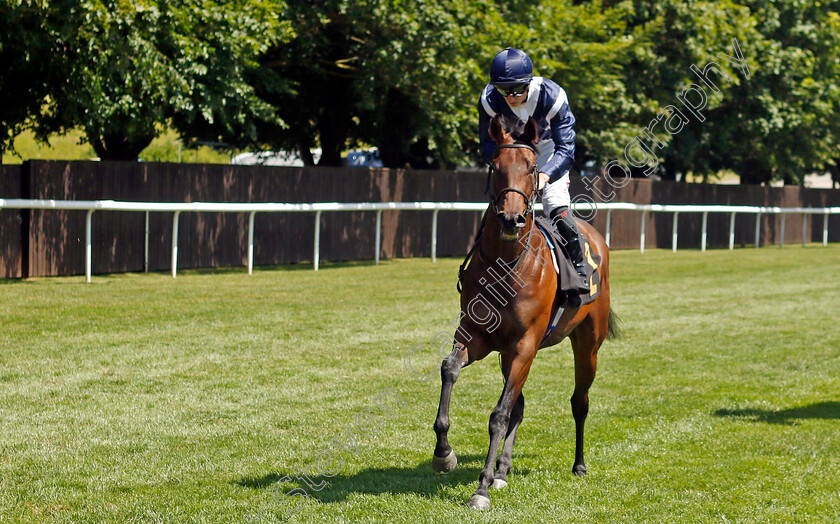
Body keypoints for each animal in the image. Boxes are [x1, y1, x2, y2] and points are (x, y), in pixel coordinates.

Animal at [434, 116, 616, 510]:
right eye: (495, 166)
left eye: (532, 167)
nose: (512, 218)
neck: (505, 264)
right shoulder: (477, 335)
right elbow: (450, 369)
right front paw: (444, 453)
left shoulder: (524, 345)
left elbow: (499, 415)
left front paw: (481, 489)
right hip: (508, 355)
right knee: (520, 404)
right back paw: (503, 470)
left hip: (587, 344)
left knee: (579, 401)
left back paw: (579, 464)